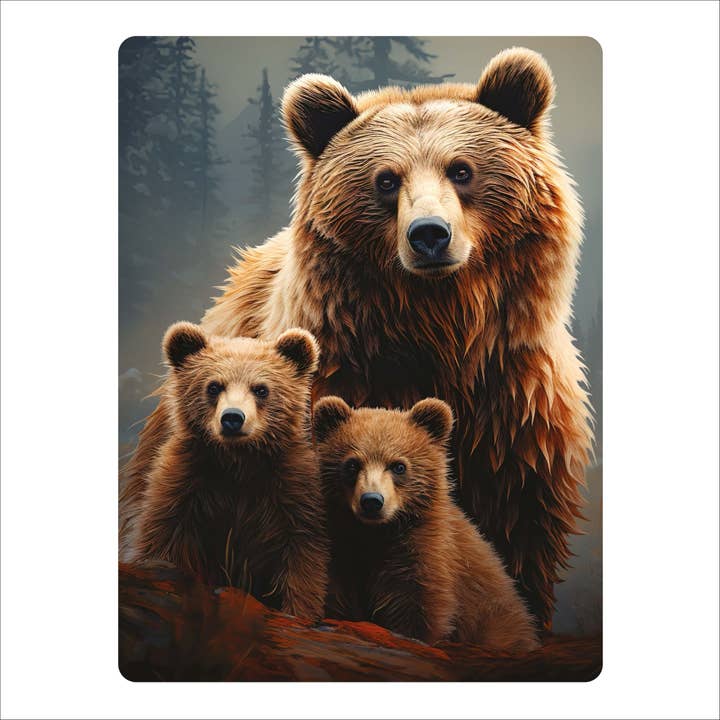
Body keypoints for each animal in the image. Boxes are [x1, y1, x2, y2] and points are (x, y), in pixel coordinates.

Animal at [126, 322, 328, 621]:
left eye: (261, 389)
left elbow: (303, 558)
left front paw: (299, 613)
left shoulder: (291, 493)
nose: (233, 417)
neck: (237, 462)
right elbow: (160, 540)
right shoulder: (184, 486)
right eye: (213, 386)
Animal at [313, 395, 539, 653]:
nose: (372, 501)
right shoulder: (343, 551)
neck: (376, 534)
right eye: (352, 464)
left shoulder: (425, 553)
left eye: (399, 465)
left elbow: (420, 607)